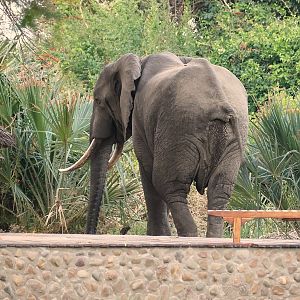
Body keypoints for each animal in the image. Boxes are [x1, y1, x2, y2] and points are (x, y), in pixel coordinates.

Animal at [59, 52, 247, 237]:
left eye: (98, 101)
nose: (91, 232)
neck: (138, 63)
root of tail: (221, 103)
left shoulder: (141, 119)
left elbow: (147, 169)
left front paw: (157, 236)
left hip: (178, 127)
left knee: (169, 185)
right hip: (231, 137)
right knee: (219, 189)